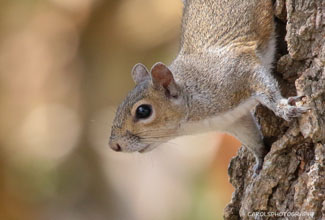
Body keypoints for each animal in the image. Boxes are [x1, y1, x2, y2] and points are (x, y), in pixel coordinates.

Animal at [107, 0, 308, 174]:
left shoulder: (240, 70)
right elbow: (250, 136)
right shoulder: (234, 120)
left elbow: (266, 87)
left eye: (143, 111)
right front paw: (260, 157)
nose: (114, 146)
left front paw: (284, 108)